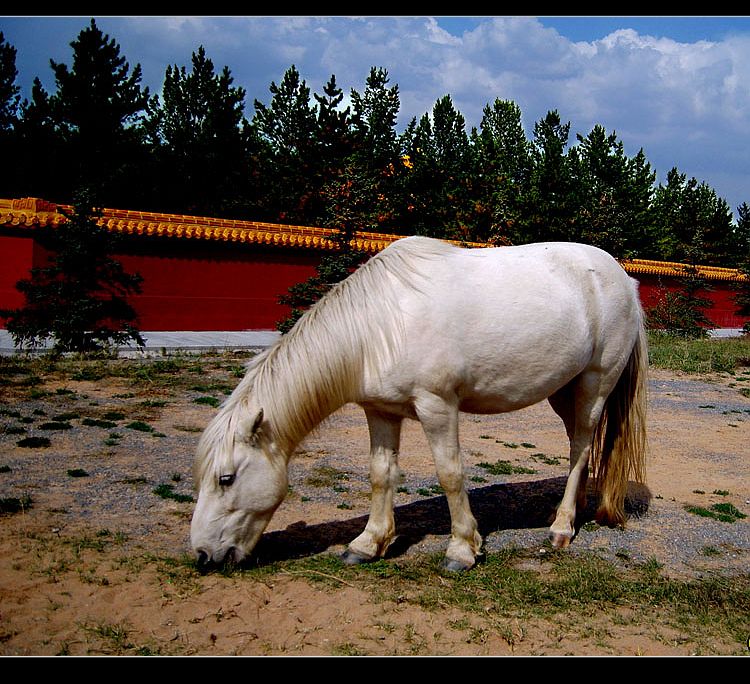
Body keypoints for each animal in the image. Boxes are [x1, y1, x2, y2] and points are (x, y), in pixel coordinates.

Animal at [191, 235, 648, 572]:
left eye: (226, 478)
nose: (203, 555)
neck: (381, 325)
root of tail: (622, 278)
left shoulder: (437, 407)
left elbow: (450, 474)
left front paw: (462, 549)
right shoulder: (380, 412)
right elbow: (381, 475)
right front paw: (368, 543)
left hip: (593, 385)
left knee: (581, 446)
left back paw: (561, 528)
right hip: (563, 390)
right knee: (578, 448)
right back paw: (573, 511)